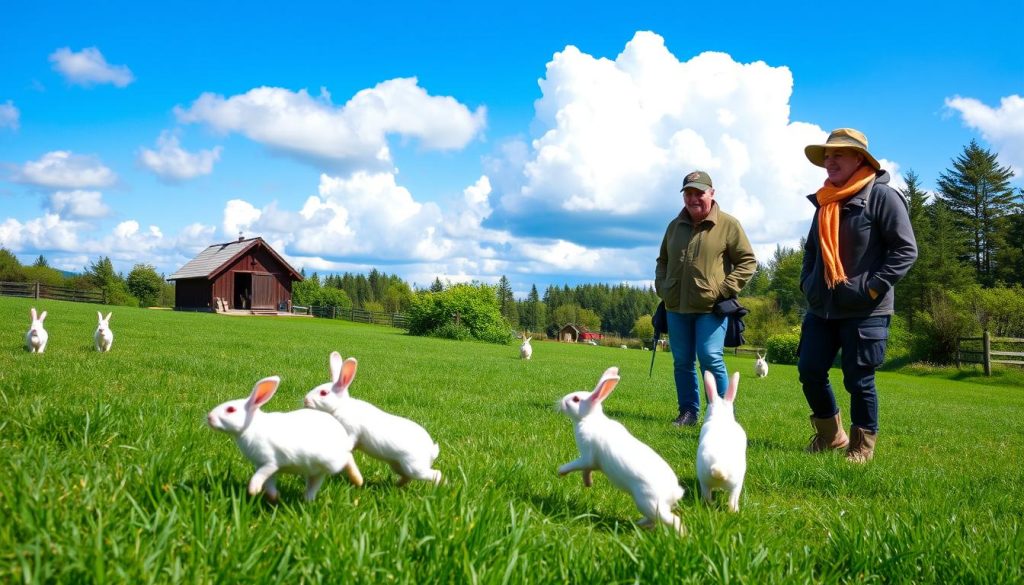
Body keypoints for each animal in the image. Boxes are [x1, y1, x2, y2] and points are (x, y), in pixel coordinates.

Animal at [205, 372, 362, 502]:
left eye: (230, 409)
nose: (209, 417)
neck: (251, 427)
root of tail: (341, 433)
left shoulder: (270, 462)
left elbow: (259, 476)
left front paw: (253, 490)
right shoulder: (262, 465)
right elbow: (268, 483)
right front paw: (275, 497)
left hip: (332, 461)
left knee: (348, 458)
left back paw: (357, 479)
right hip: (315, 470)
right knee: (314, 485)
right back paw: (307, 500)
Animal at [301, 354, 442, 487]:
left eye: (323, 393)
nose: (305, 400)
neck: (340, 407)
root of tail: (431, 451)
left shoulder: (351, 431)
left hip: (414, 467)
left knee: (436, 474)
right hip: (399, 466)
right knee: (408, 477)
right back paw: (396, 485)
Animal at [557, 368, 684, 532]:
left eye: (576, 399)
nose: (561, 401)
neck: (589, 420)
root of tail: (674, 493)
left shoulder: (587, 457)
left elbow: (576, 465)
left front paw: (560, 472)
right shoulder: (592, 464)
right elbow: (587, 471)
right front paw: (588, 483)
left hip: (648, 503)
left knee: (672, 520)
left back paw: (681, 534)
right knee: (654, 520)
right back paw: (637, 524)